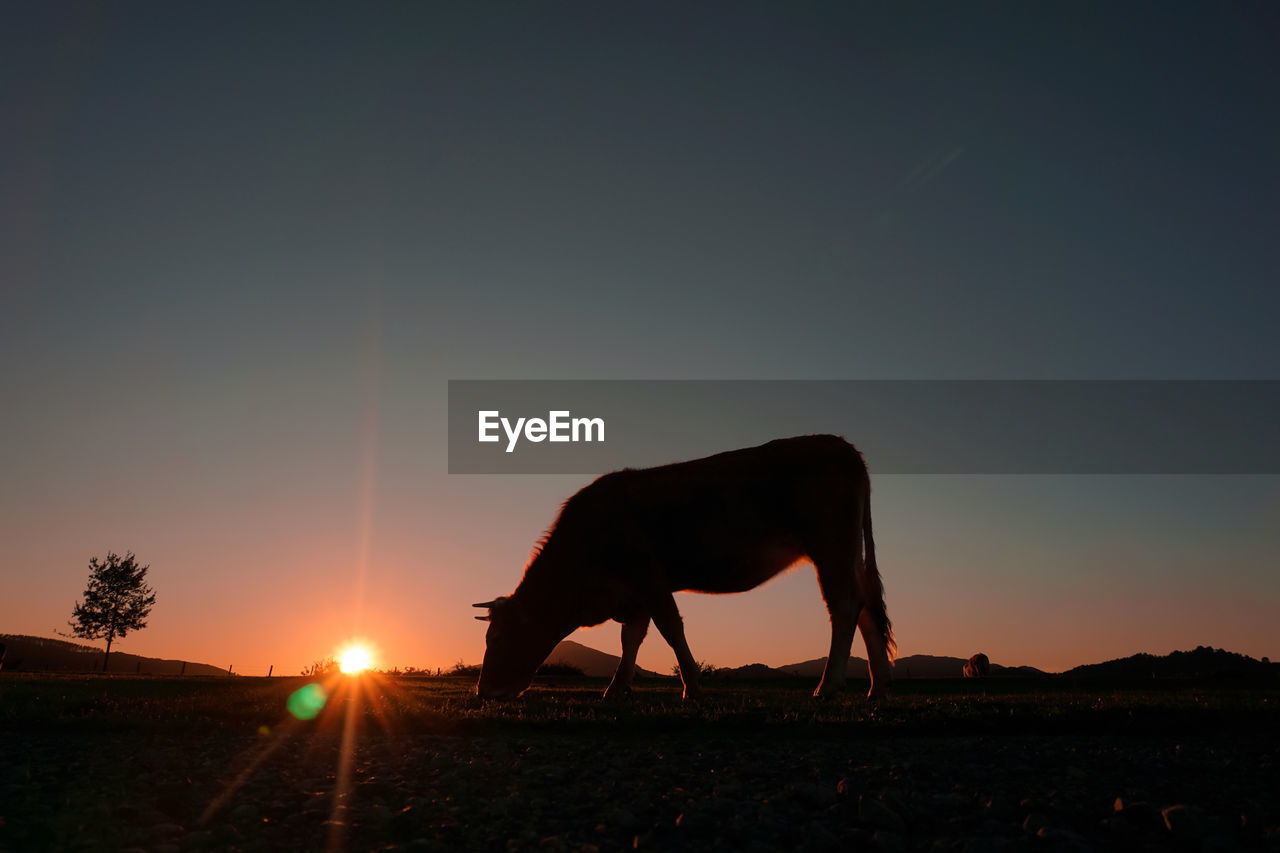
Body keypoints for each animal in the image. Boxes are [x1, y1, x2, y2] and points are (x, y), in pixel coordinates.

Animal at [473, 435, 901, 701]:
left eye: (498, 638)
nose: (482, 692)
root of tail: (839, 443)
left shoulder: (648, 577)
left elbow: (670, 629)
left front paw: (691, 686)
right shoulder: (634, 594)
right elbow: (631, 640)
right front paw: (616, 690)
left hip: (830, 547)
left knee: (845, 607)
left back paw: (827, 686)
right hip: (848, 554)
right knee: (866, 609)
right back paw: (877, 688)